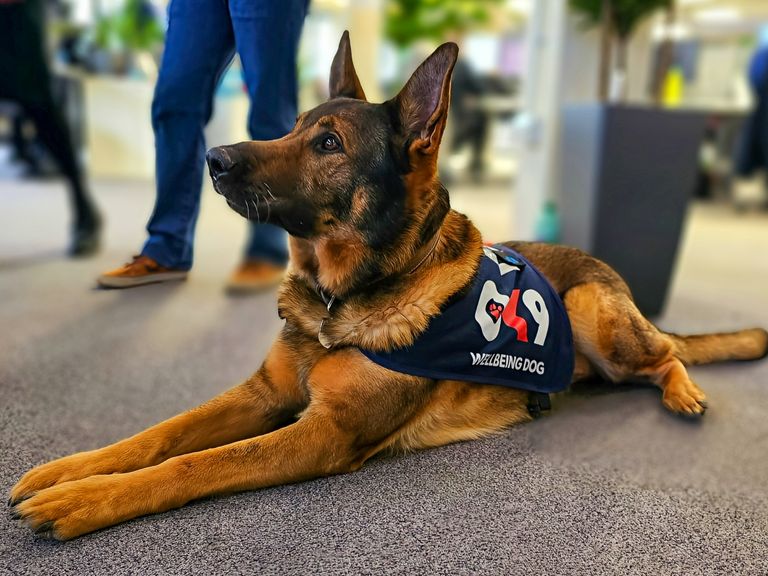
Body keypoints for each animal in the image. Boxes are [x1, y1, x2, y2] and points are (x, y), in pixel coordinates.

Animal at [7, 32, 768, 540]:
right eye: (292, 127)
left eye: (328, 144)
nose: (214, 159)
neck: (338, 298)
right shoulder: (264, 395)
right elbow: (161, 434)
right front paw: (74, 470)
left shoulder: (320, 434)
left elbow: (194, 464)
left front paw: (85, 500)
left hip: (589, 310)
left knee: (667, 355)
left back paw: (683, 393)